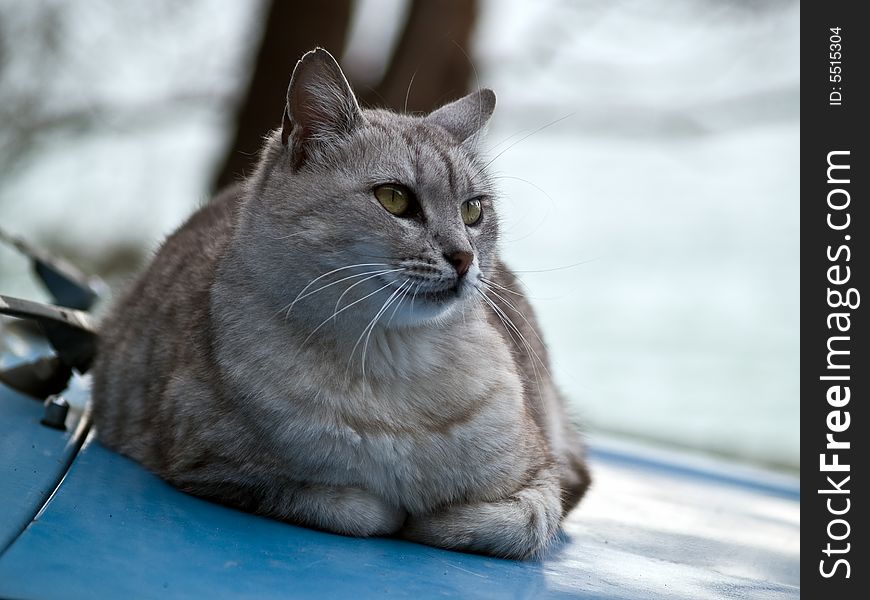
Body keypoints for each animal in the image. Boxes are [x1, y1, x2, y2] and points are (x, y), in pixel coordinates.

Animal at [90, 47, 592, 556]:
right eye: (394, 199)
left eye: (473, 210)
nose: (464, 258)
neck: (392, 363)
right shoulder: (213, 468)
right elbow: (358, 509)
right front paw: (399, 513)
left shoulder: (541, 481)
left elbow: (509, 524)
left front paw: (437, 518)